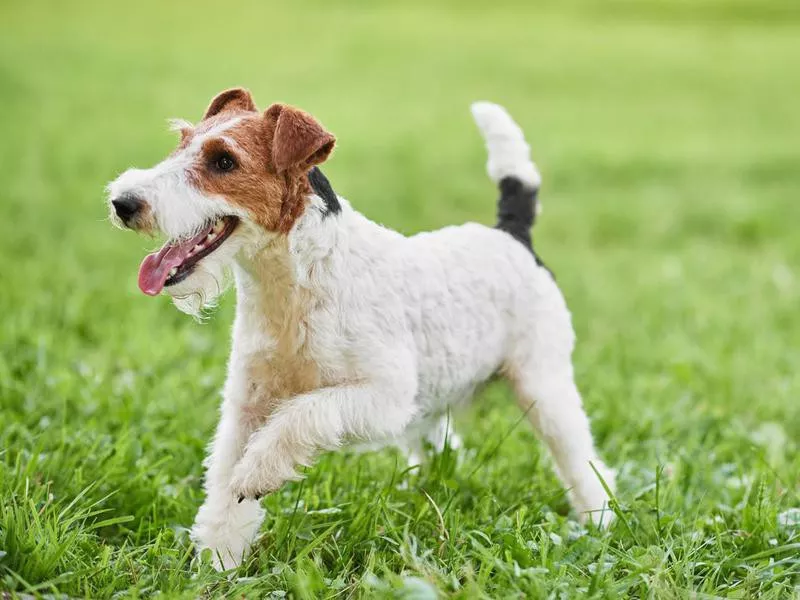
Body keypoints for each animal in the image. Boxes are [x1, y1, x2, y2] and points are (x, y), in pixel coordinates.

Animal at [106, 88, 616, 568]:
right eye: (182, 142)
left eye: (224, 160)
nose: (122, 202)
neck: (295, 282)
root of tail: (513, 234)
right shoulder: (246, 404)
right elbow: (224, 493)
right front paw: (218, 563)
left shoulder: (383, 396)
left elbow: (301, 415)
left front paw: (258, 474)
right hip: (438, 397)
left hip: (542, 385)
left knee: (584, 462)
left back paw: (599, 521)